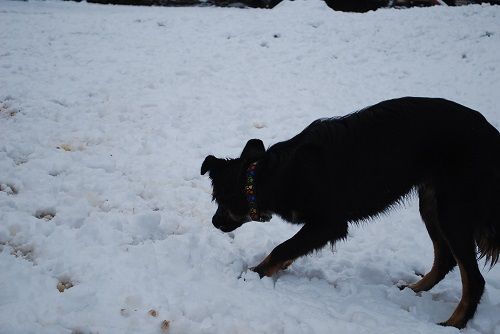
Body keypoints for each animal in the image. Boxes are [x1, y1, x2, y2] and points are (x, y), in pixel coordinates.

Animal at [200, 96, 500, 328]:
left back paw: (453, 324)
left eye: (219, 200)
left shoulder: (329, 223)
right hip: (430, 202)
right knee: (445, 259)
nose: (214, 222)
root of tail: (492, 136)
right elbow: (291, 248)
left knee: (474, 280)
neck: (273, 174)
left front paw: (253, 273)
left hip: (452, 208)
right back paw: (414, 290)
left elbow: (282, 247)